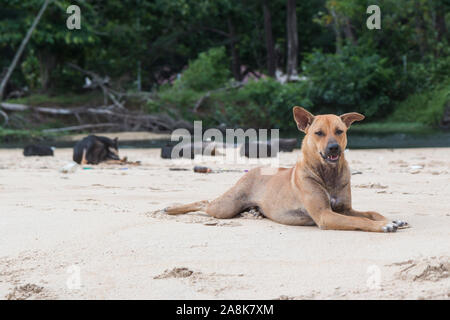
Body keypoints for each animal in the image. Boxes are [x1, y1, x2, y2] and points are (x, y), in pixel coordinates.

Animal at [164, 107, 408, 232]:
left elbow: (370, 213)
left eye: (340, 131)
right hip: (225, 206)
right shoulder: (325, 215)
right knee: (204, 203)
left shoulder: (344, 209)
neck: (328, 173)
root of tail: (254, 170)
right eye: (319, 133)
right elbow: (360, 221)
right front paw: (383, 225)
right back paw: (172, 208)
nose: (334, 148)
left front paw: (390, 219)